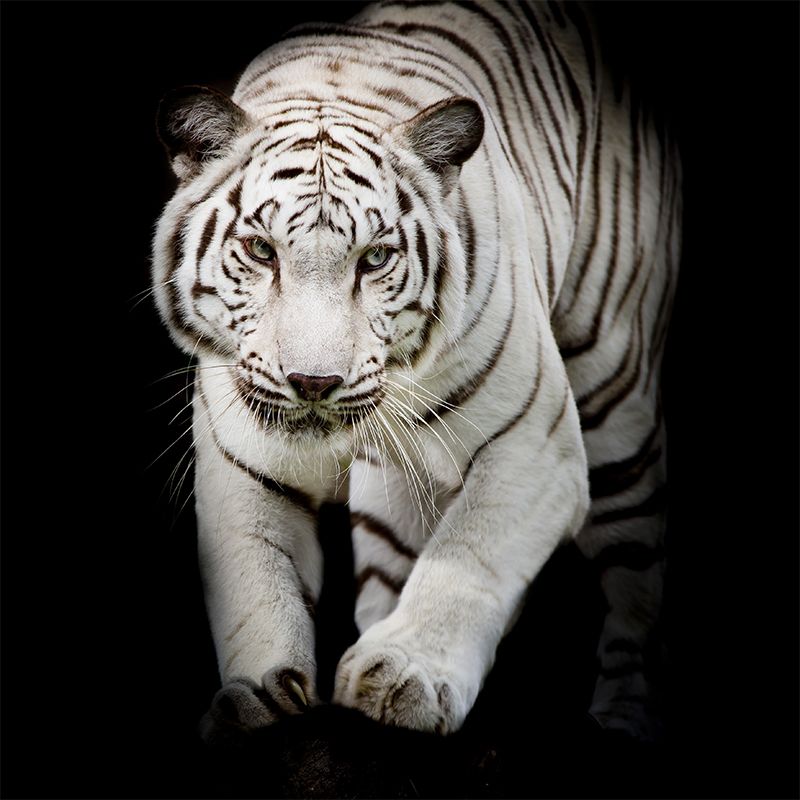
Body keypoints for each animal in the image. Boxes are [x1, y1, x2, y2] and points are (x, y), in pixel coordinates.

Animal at [152, 0, 680, 742]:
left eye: (374, 259)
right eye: (260, 250)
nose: (313, 383)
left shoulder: (535, 442)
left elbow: (468, 554)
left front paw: (406, 677)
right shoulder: (243, 456)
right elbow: (256, 579)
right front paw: (258, 697)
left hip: (616, 399)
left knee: (636, 586)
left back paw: (625, 720)